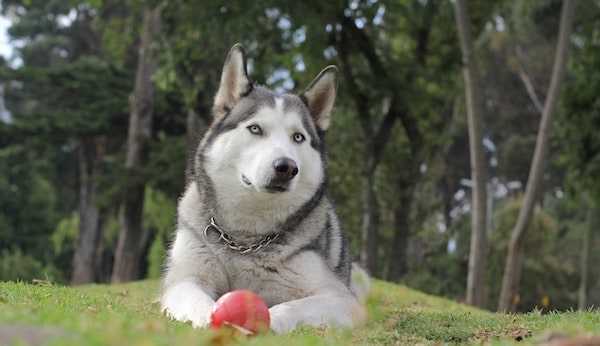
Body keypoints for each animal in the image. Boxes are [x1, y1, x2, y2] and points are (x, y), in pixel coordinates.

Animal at [159, 44, 368, 334]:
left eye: (298, 137)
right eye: (255, 128)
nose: (286, 167)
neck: (244, 241)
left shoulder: (341, 298)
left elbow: (290, 307)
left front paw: (265, 323)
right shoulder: (183, 280)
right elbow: (198, 301)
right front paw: (213, 320)